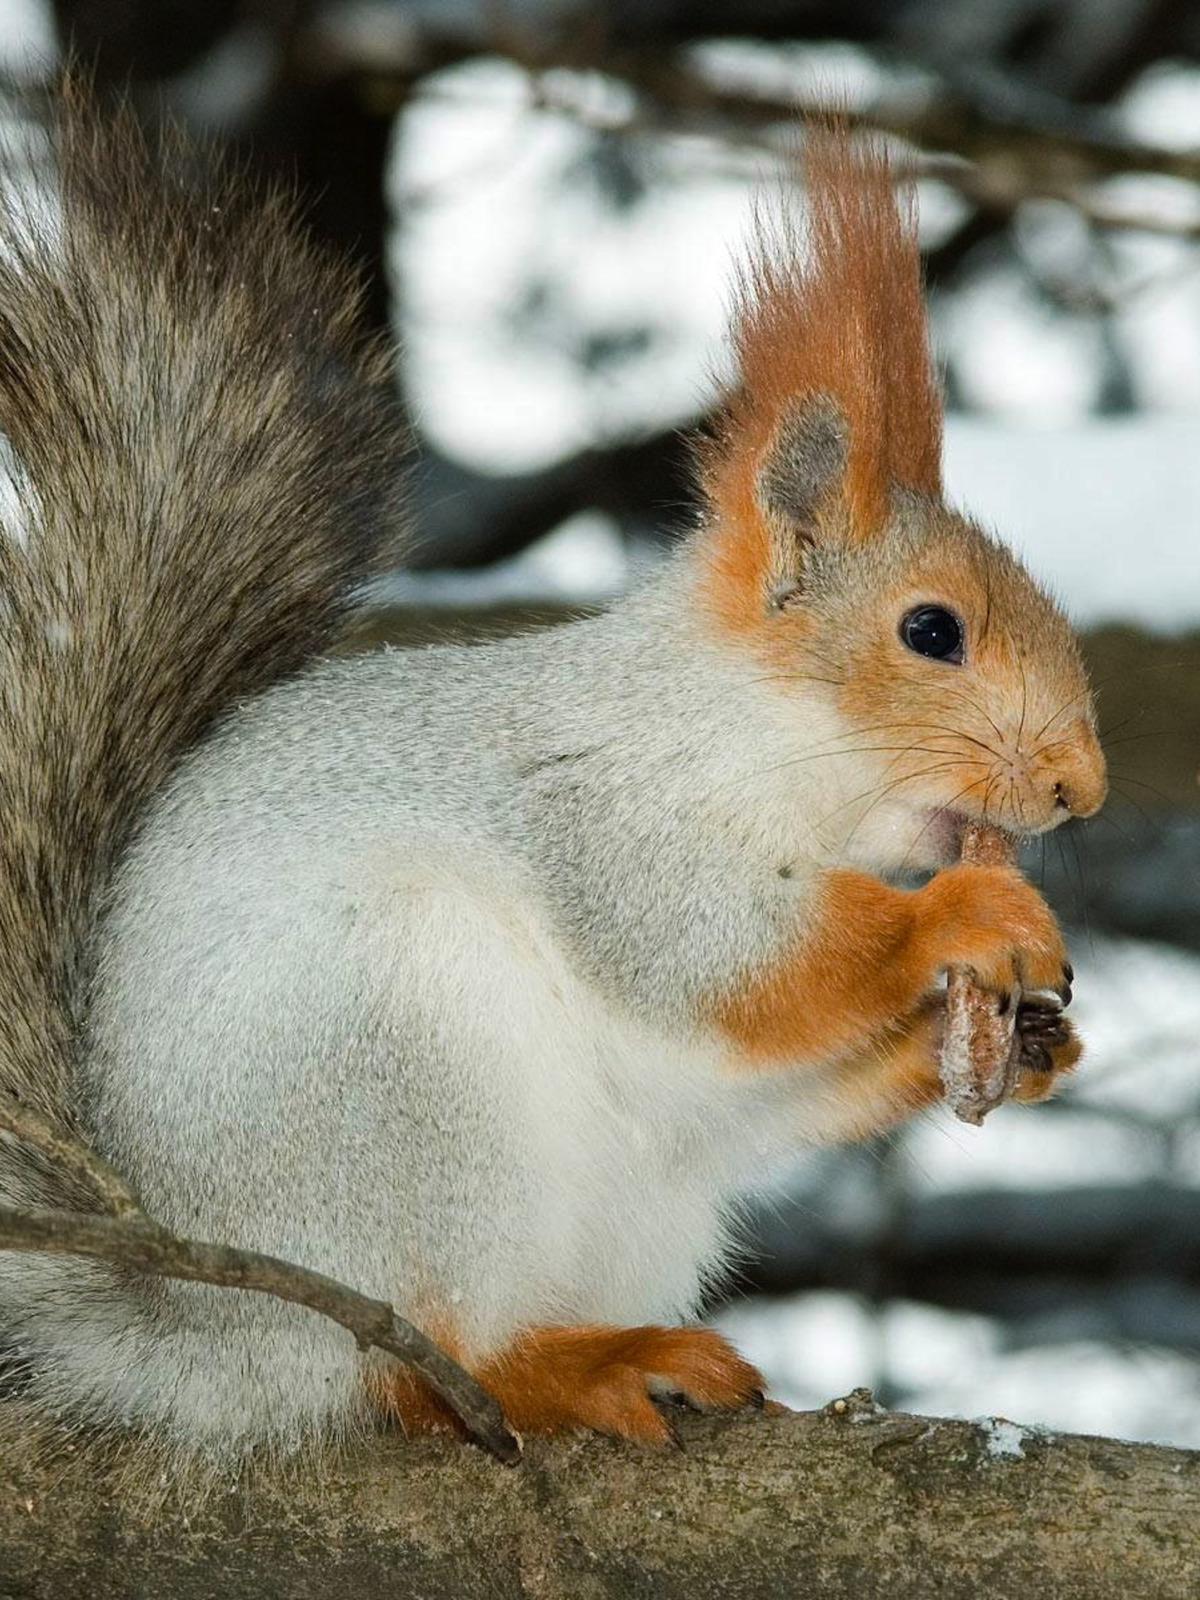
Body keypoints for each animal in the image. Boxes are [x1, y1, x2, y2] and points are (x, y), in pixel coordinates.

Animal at [0, 100, 1107, 1465]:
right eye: (932, 631)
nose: (1080, 786)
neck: (755, 730)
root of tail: (208, 1328)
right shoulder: (608, 820)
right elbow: (728, 957)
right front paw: (968, 914)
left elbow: (770, 1082)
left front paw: (1026, 1041)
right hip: (404, 1062)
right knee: (424, 1367)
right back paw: (570, 1368)